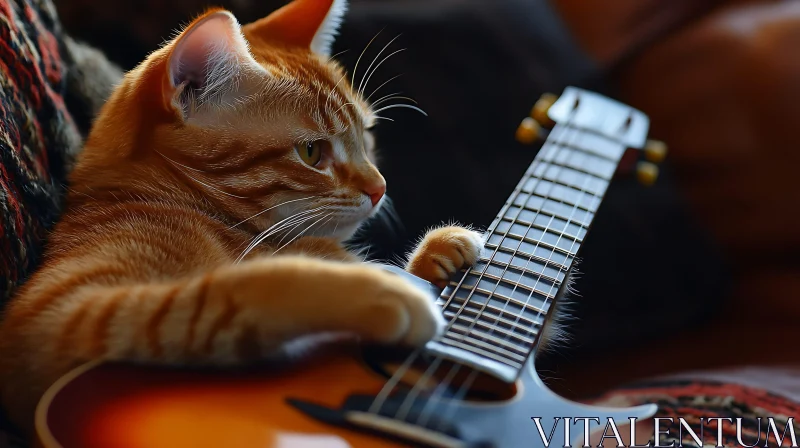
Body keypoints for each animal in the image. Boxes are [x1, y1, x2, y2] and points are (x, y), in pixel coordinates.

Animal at [0, 0, 482, 434]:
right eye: (312, 152)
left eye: (366, 135)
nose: (379, 188)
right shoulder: (60, 317)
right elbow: (247, 287)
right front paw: (383, 290)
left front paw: (440, 254)